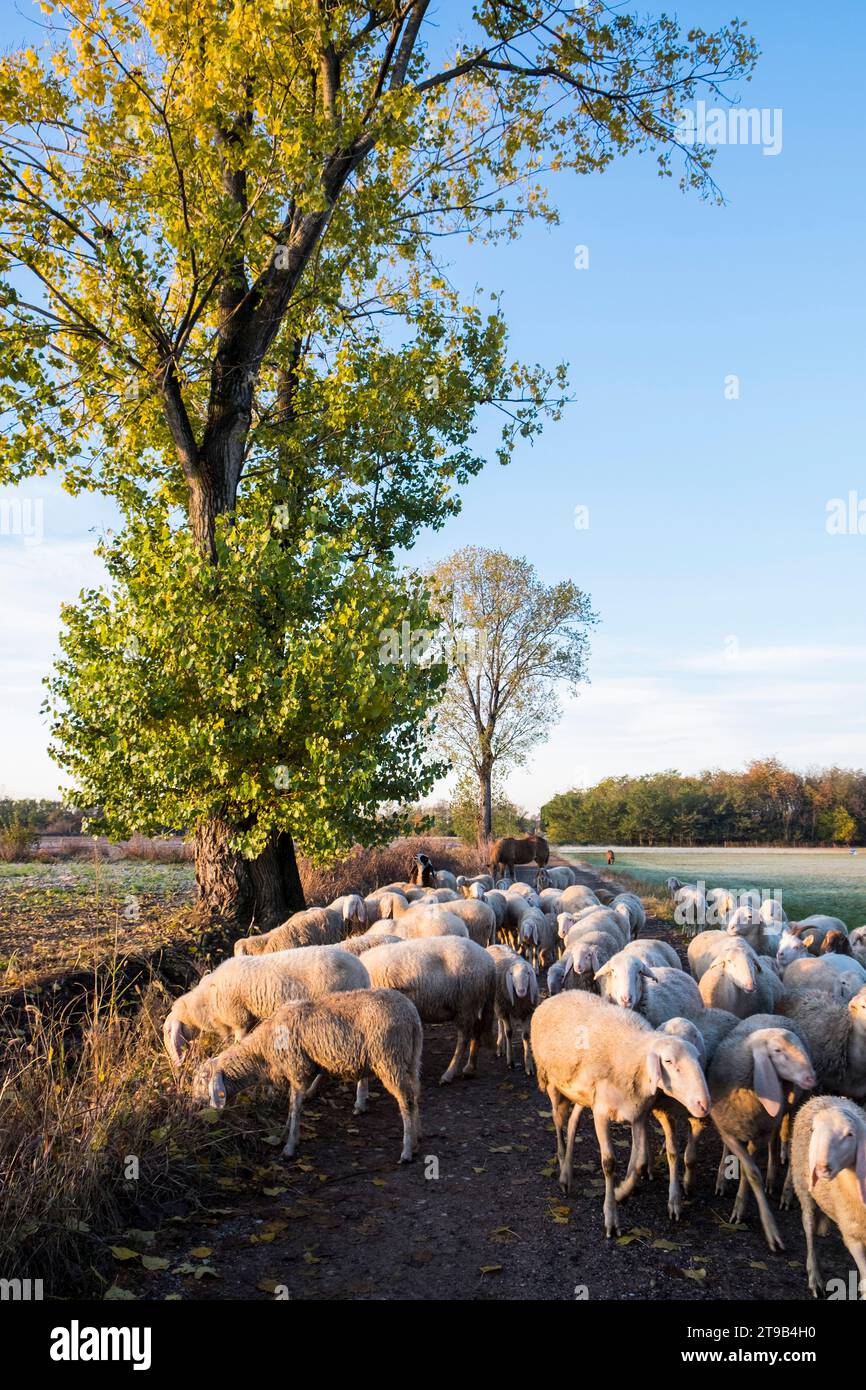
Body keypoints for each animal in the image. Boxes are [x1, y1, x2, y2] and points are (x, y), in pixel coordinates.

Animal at [191, 989, 422, 1162]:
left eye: (202, 1081)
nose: (194, 1104)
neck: (262, 1050)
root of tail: (410, 1015)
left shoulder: (296, 1069)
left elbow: (295, 1108)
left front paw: (290, 1146)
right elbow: (291, 1107)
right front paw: (284, 1134)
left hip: (389, 1058)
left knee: (406, 1100)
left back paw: (407, 1150)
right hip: (411, 1059)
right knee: (415, 1096)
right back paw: (415, 1140)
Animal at [528, 995, 711, 1234]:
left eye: (698, 1057)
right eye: (669, 1061)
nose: (704, 1103)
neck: (633, 1058)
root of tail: (554, 997)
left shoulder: (638, 1114)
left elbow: (638, 1163)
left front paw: (621, 1192)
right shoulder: (601, 1113)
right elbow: (609, 1163)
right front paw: (611, 1217)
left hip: (585, 1094)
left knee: (573, 1121)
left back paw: (568, 1169)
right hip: (552, 1083)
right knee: (558, 1123)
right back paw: (563, 1172)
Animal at [795, 1095, 866, 1301]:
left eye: (850, 1134)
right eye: (813, 1130)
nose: (820, 1168)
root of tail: (825, 1096)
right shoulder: (853, 1235)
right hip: (802, 1186)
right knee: (808, 1224)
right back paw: (815, 1278)